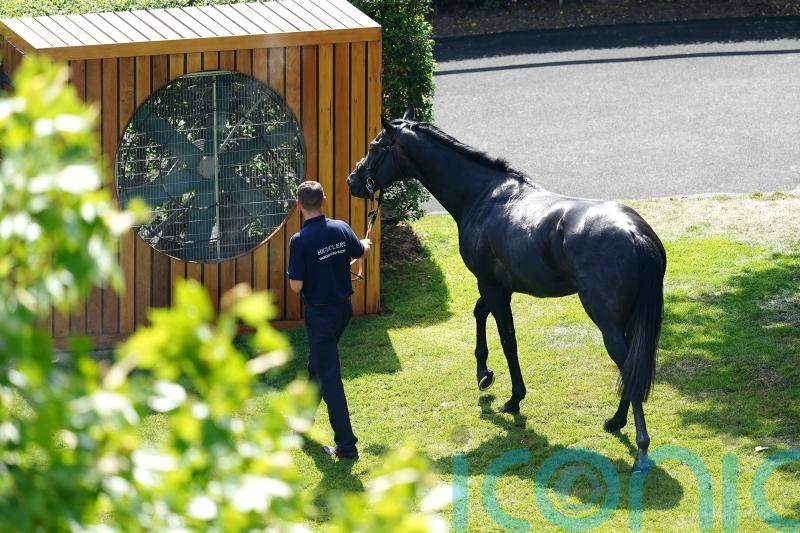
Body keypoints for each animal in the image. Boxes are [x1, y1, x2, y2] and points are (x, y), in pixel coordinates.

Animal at [347, 106, 666, 472]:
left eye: (374, 146)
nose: (352, 180)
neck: (483, 197)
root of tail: (635, 233)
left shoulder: (490, 285)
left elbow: (508, 339)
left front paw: (513, 398)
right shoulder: (500, 286)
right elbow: (479, 313)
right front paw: (484, 373)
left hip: (608, 322)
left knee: (629, 366)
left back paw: (640, 446)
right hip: (627, 320)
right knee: (631, 367)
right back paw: (615, 421)